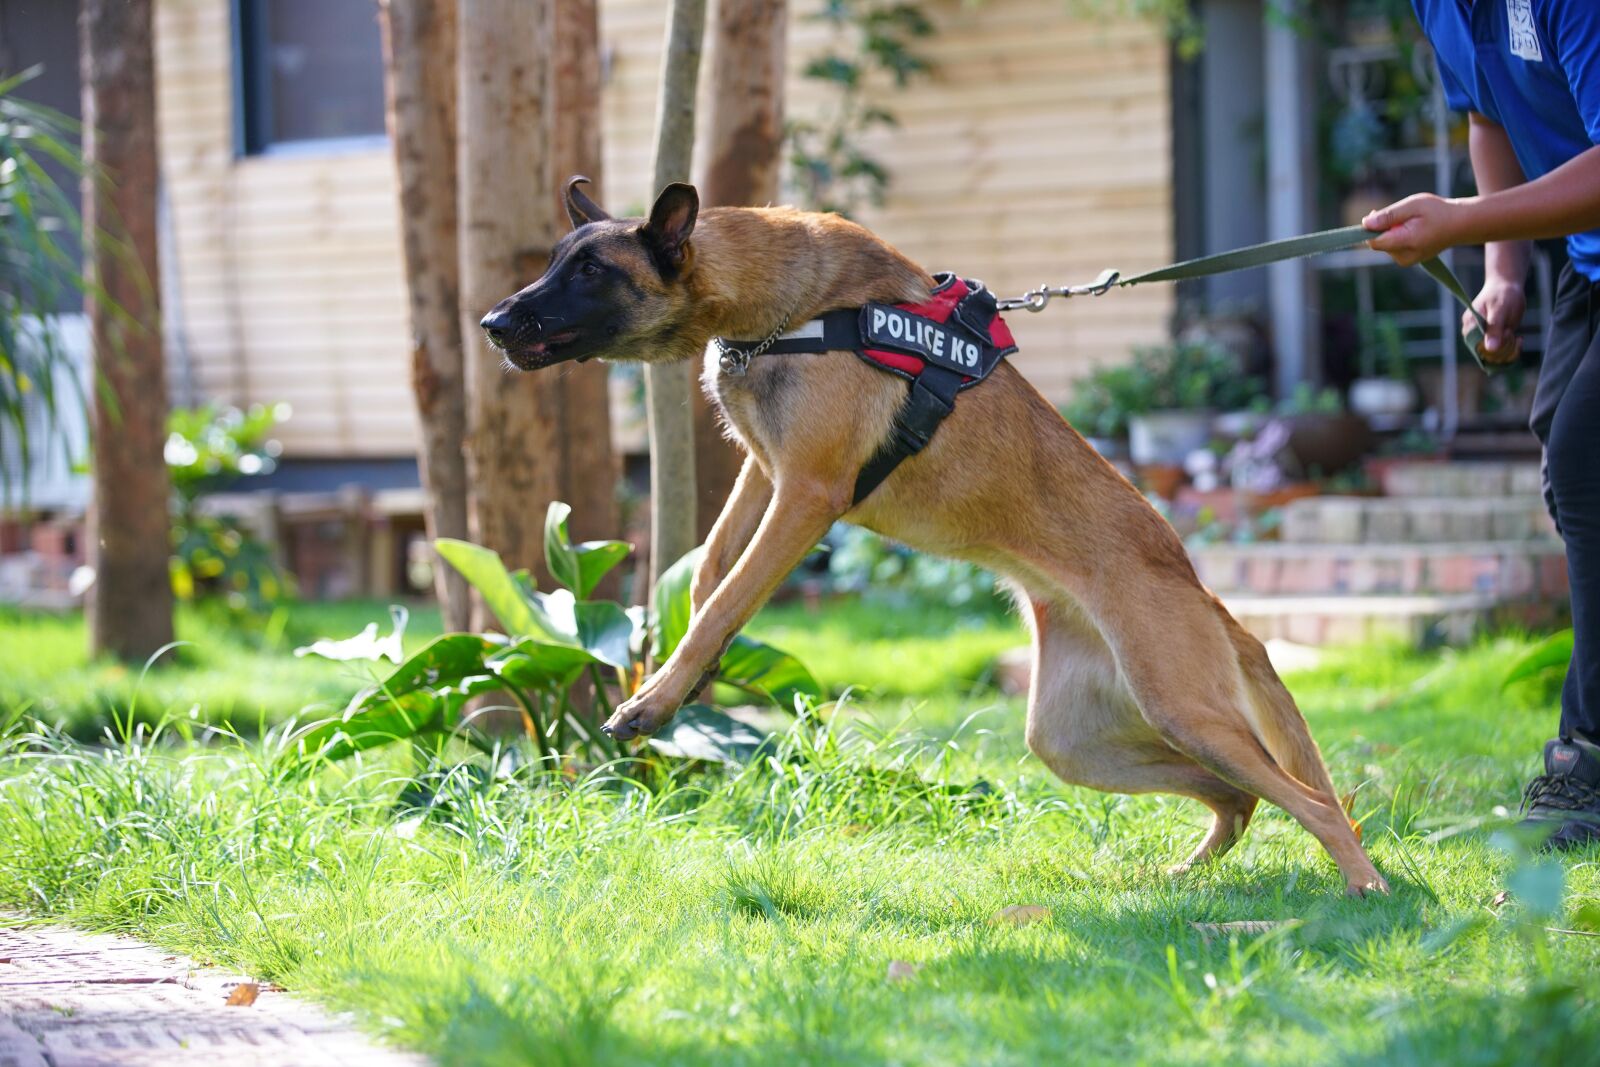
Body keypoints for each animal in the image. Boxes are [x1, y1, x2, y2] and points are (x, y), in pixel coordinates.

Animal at [483, 177, 1388, 895]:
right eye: (556, 261)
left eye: (591, 272)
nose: (492, 321)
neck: (789, 305)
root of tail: (1205, 593)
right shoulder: (765, 474)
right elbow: (709, 577)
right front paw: (686, 678)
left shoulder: (806, 494)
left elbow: (725, 598)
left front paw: (655, 697)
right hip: (1076, 742)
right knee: (1238, 794)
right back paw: (1185, 875)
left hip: (1182, 707)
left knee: (1314, 802)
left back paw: (1367, 888)